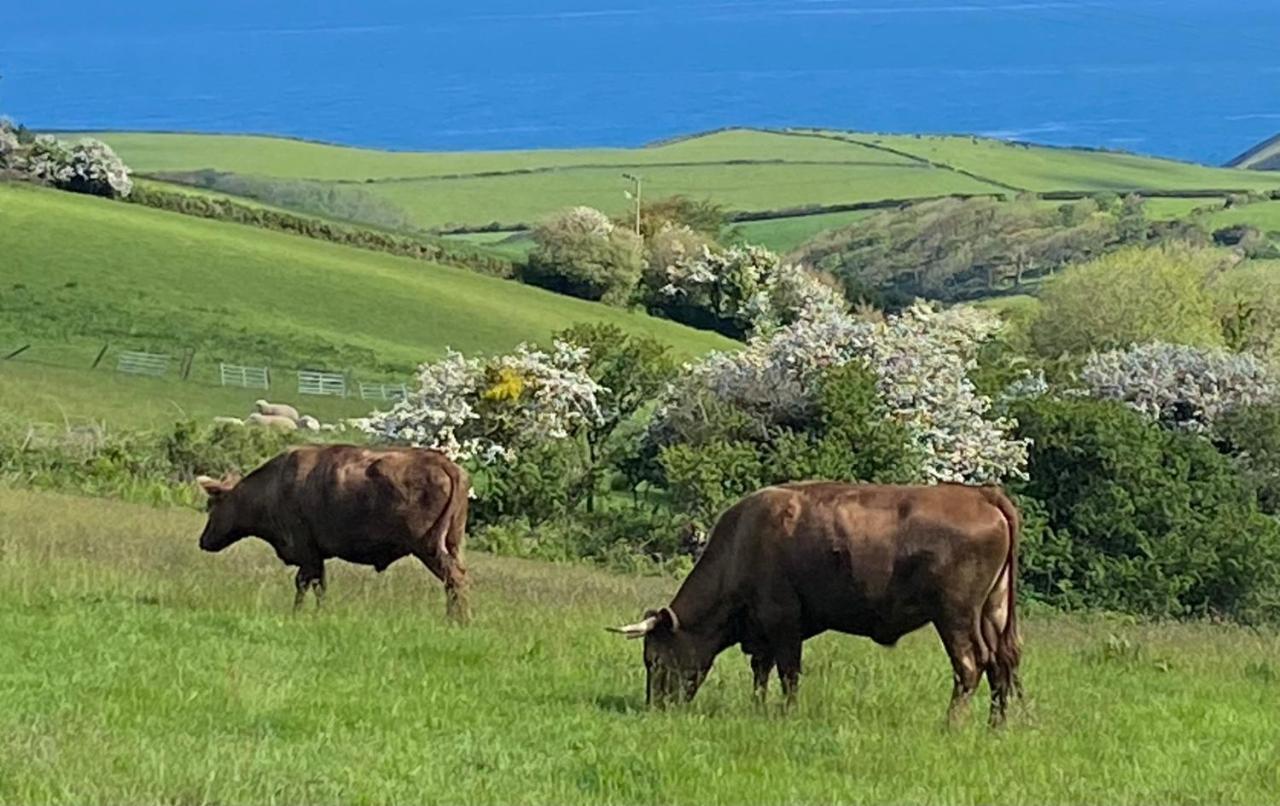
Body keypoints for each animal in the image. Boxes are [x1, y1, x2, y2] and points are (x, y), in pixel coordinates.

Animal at [199, 445, 476, 621]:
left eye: (212, 505)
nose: (203, 541)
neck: (275, 485)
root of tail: (445, 465)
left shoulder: (307, 552)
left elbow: (304, 583)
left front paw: (297, 614)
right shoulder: (317, 556)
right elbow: (320, 585)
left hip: (429, 548)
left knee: (454, 579)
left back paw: (458, 621)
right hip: (452, 544)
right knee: (455, 581)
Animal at [609, 483, 1018, 731]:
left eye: (654, 659)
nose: (655, 708)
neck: (743, 541)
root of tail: (982, 495)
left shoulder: (783, 621)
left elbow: (788, 672)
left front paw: (787, 714)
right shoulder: (762, 631)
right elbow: (761, 672)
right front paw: (757, 709)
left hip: (955, 616)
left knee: (970, 665)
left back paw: (951, 725)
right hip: (992, 612)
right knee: (1002, 663)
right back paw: (995, 726)